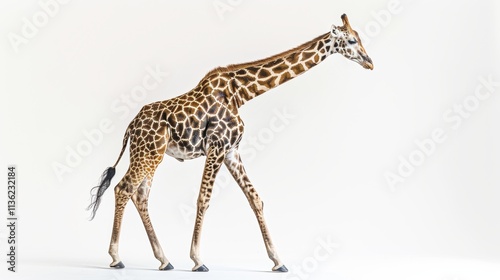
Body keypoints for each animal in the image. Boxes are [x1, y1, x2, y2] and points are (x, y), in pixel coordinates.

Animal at [88, 14, 374, 272]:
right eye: (351, 40)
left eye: (360, 37)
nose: (369, 62)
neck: (241, 94)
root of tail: (130, 127)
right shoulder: (216, 146)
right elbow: (203, 199)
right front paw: (198, 260)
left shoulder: (231, 150)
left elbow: (255, 198)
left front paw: (278, 261)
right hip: (148, 153)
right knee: (124, 188)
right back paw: (116, 258)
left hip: (149, 155)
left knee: (140, 195)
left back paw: (164, 260)